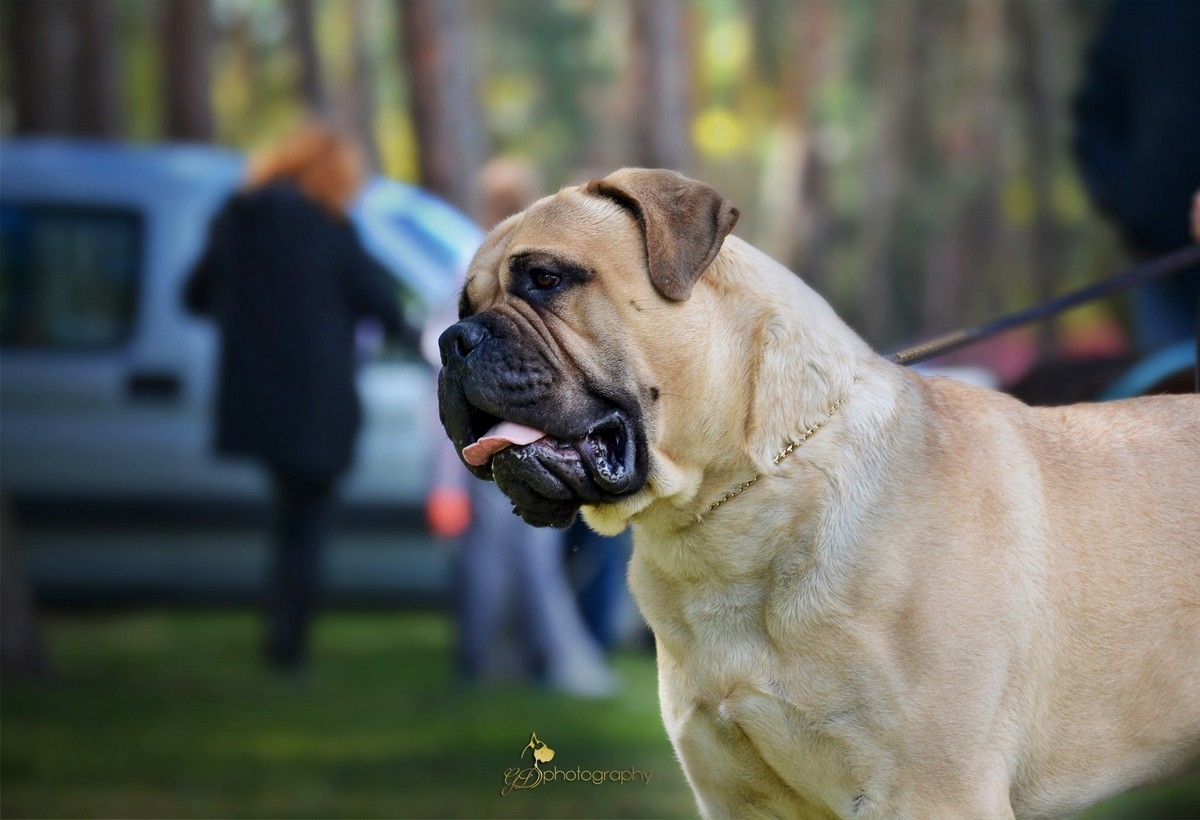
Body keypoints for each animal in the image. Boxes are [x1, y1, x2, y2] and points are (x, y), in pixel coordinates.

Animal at [437, 168, 1200, 818]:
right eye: (462, 305)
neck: (729, 512)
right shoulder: (738, 796)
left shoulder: (934, 790)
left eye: (545, 278)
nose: (451, 340)